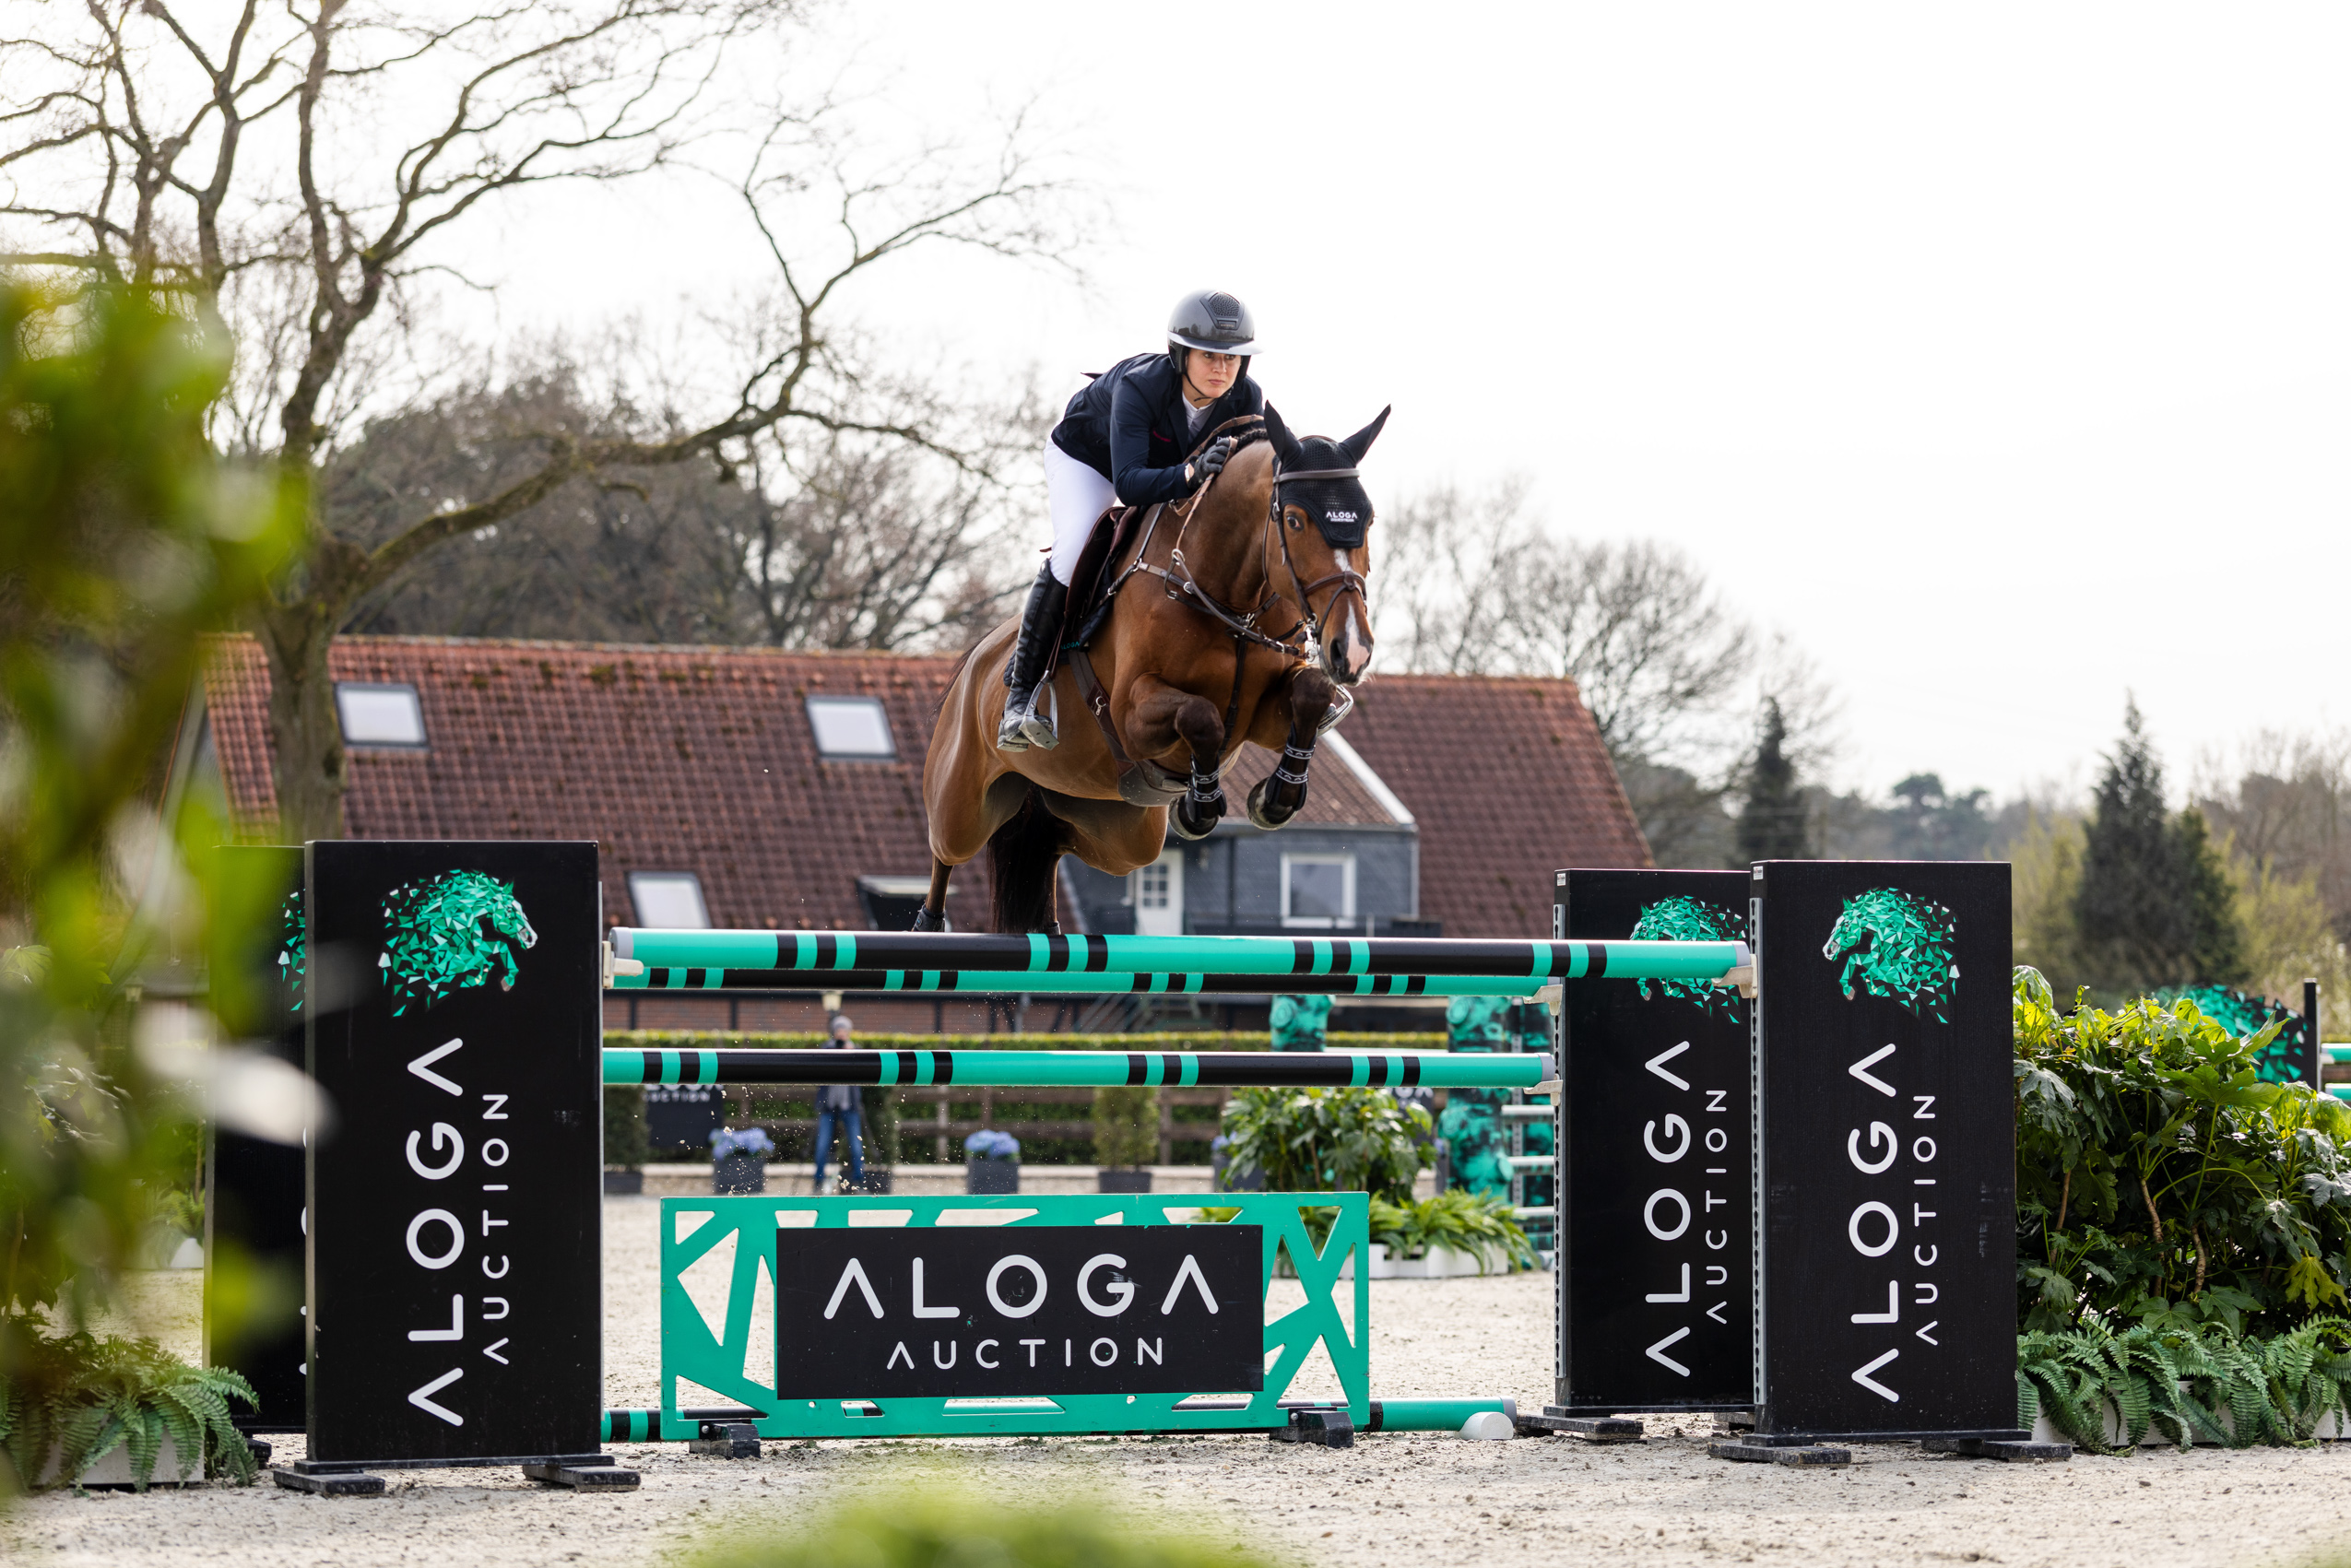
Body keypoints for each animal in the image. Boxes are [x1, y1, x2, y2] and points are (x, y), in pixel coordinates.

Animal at [917, 403, 1390, 933]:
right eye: (1294, 520)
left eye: (1368, 519)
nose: (1351, 650)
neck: (1227, 596)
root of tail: (975, 659)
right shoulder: (1130, 715)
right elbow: (1201, 716)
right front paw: (1198, 807)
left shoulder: (1262, 718)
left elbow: (1309, 693)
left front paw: (1275, 799)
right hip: (961, 803)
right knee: (945, 852)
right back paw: (928, 926)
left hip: (1120, 833)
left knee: (1052, 842)